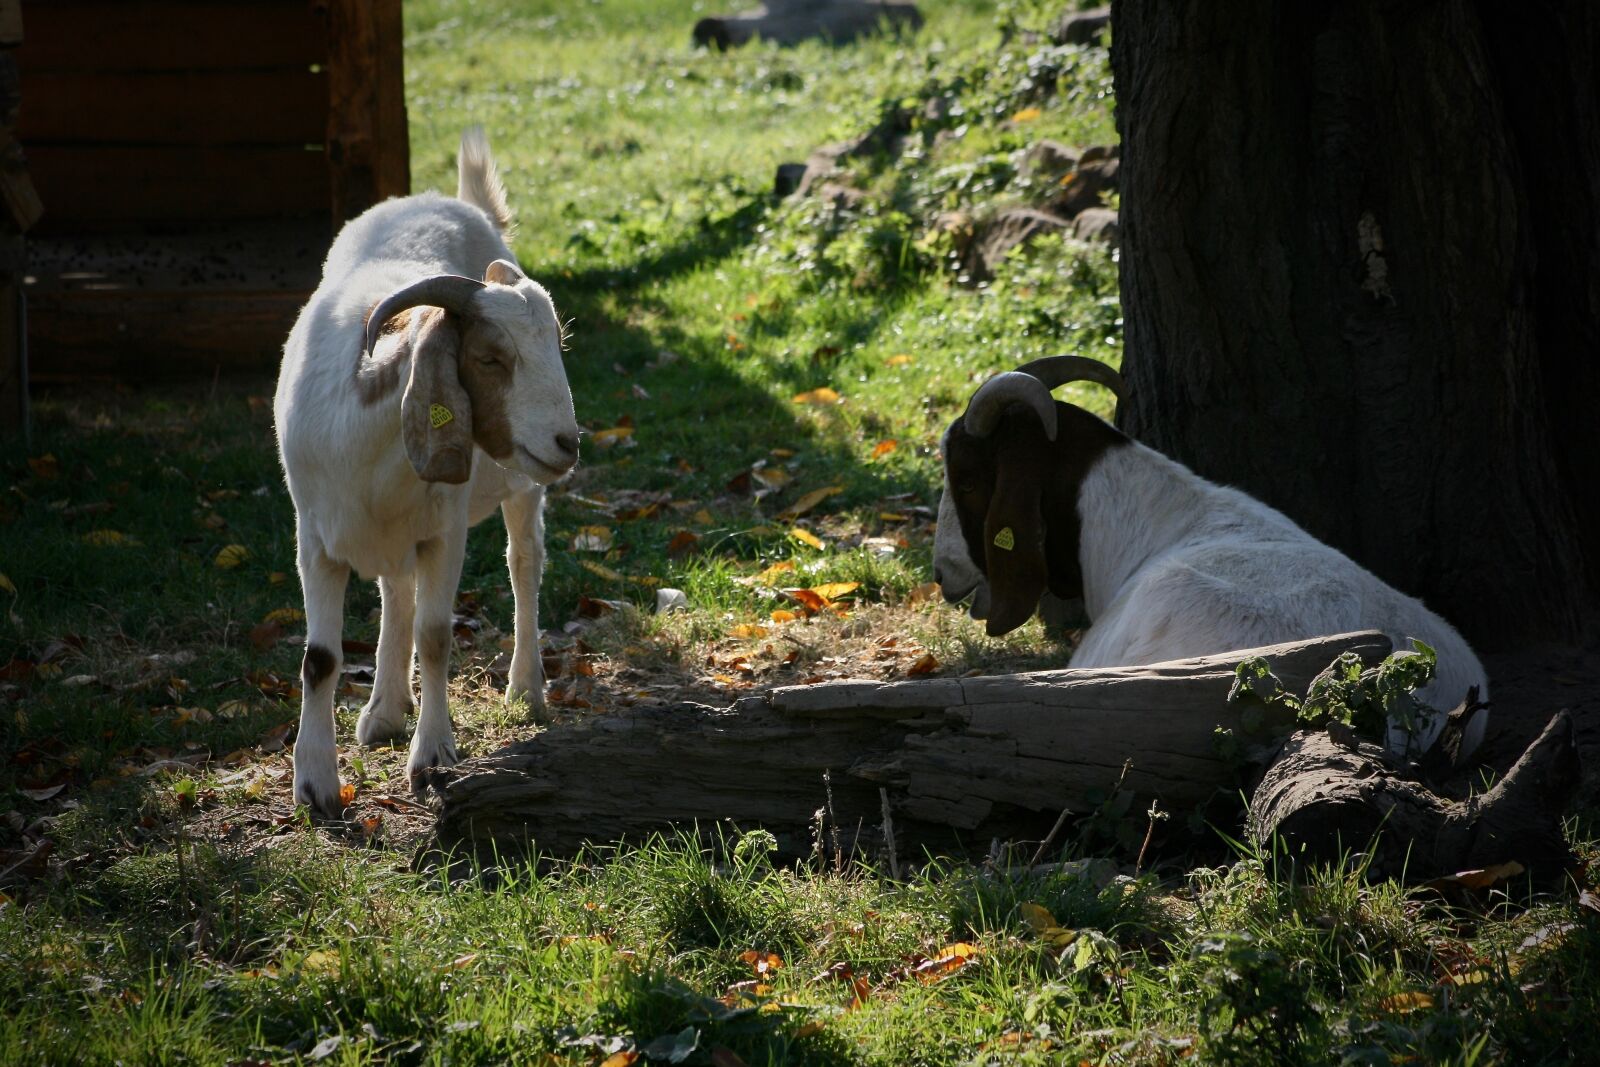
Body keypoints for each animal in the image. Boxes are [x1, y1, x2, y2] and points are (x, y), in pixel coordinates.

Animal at [274, 128, 580, 814]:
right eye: (490, 358)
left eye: (558, 346)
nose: (567, 442)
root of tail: (453, 201)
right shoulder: (314, 536)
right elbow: (320, 658)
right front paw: (316, 784)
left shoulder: (445, 529)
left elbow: (438, 636)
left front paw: (433, 756)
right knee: (397, 593)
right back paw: (385, 711)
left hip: (519, 487)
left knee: (524, 565)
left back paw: (526, 689)